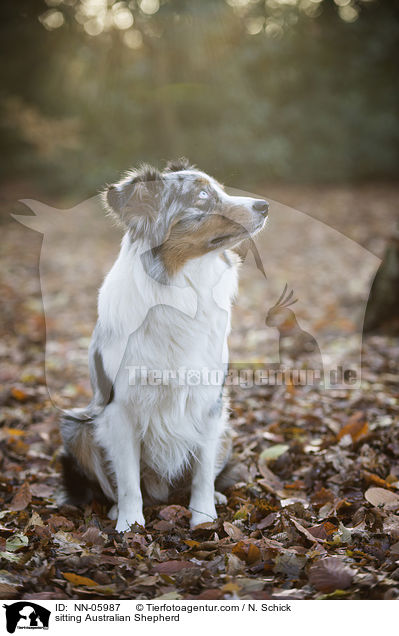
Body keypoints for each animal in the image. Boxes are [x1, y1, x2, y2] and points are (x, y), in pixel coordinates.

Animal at [59, 159, 270, 532]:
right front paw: (129, 526)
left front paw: (203, 519)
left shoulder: (210, 402)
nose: (264, 206)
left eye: (220, 190)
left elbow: (202, 473)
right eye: (202, 197)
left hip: (227, 428)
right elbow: (128, 481)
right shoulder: (119, 408)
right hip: (78, 427)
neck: (181, 286)